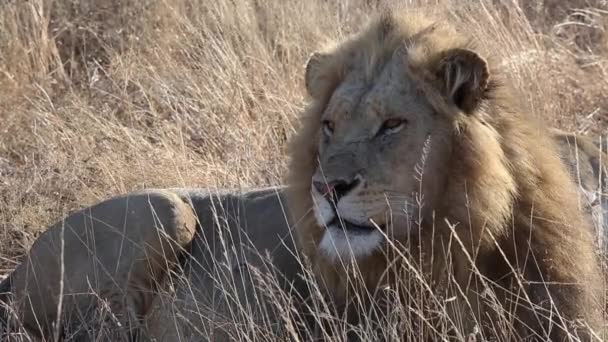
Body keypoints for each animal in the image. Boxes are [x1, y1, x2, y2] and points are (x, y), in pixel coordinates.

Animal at [1, 10, 608, 342]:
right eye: (330, 126)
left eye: (392, 124)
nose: (327, 188)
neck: (465, 236)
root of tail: (14, 272)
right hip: (161, 211)